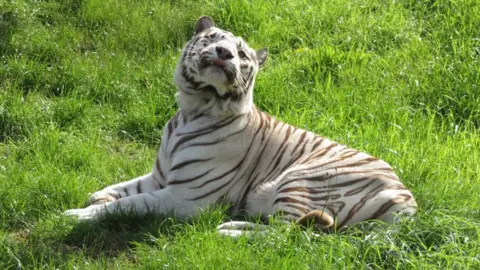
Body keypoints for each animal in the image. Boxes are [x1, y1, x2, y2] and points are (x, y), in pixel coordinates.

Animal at [64, 16, 416, 236]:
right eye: (212, 38)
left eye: (242, 54)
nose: (224, 53)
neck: (195, 108)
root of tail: (408, 202)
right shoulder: (161, 177)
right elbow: (124, 188)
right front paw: (97, 197)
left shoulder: (185, 196)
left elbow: (131, 203)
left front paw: (77, 215)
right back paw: (230, 227)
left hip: (301, 181)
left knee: (286, 237)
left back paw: (229, 232)